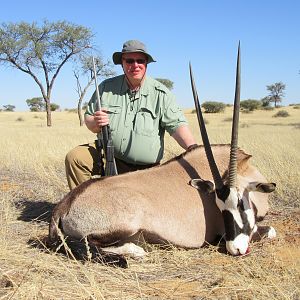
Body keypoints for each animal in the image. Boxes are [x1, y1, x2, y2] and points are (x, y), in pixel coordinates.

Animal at [49, 44, 276, 258]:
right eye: (221, 207)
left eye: (240, 203)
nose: (235, 248)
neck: (244, 168)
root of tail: (63, 207)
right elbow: (270, 230)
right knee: (92, 246)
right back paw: (138, 251)